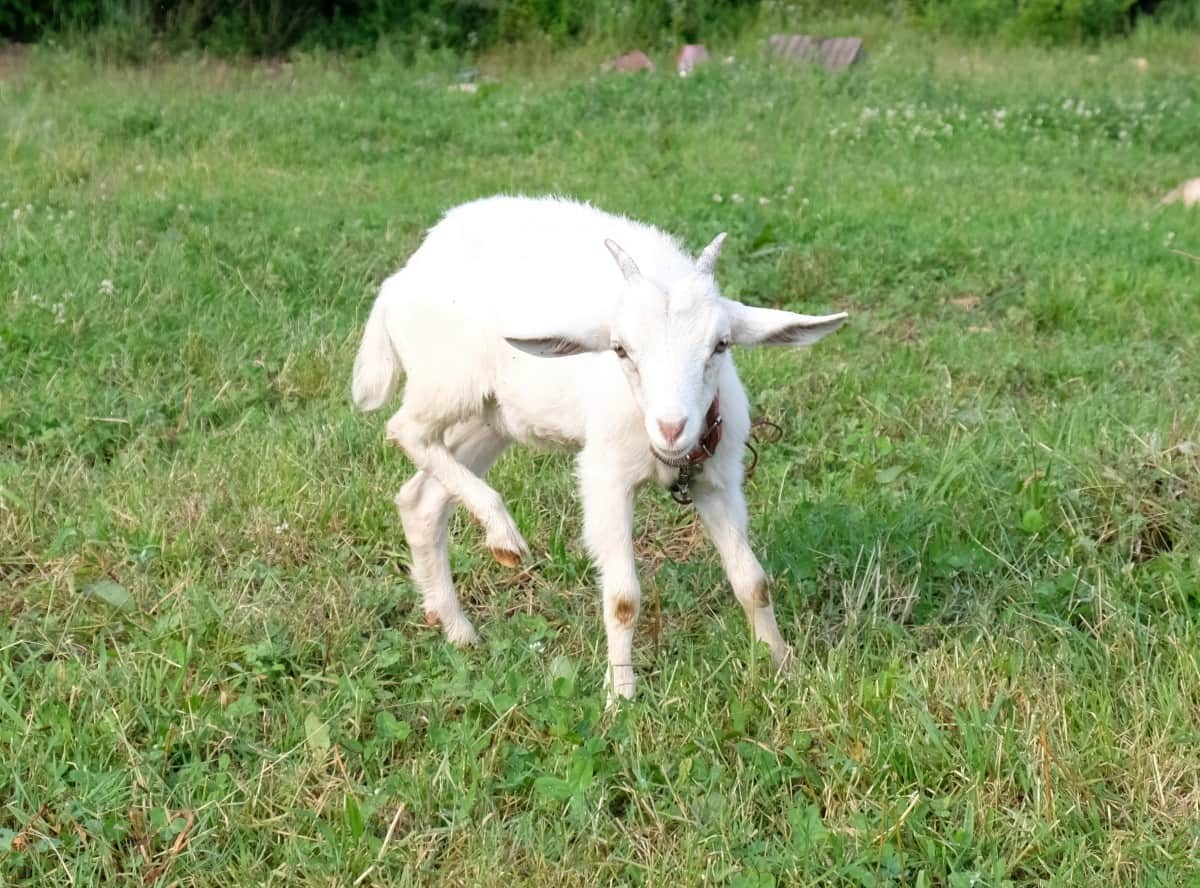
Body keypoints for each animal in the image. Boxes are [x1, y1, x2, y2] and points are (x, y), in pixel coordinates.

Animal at [350, 195, 849, 700]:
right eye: (620, 349)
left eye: (721, 345)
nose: (672, 428)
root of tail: (403, 277)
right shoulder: (605, 478)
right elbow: (624, 597)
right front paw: (620, 696)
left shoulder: (718, 482)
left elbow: (752, 582)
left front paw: (784, 666)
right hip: (447, 382)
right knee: (406, 429)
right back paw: (503, 533)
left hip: (494, 416)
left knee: (421, 498)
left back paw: (458, 628)